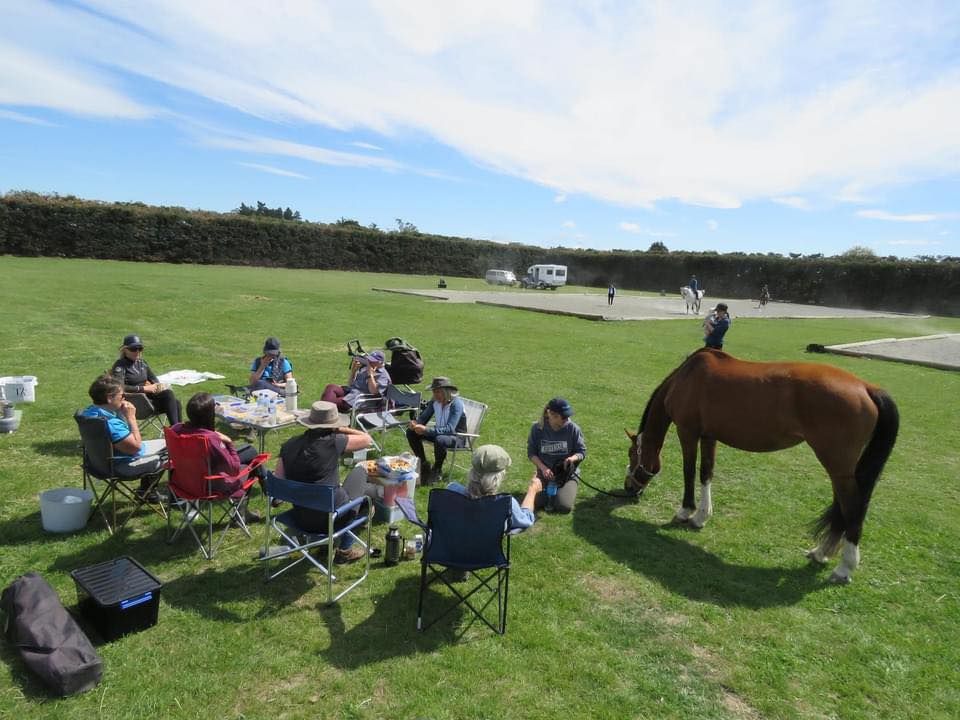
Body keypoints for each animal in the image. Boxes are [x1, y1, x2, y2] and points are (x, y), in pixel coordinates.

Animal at [628, 348, 896, 584]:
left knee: (852, 508)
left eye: (632, 455)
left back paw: (844, 568)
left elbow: (689, 472)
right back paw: (821, 553)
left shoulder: (688, 432)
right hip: (840, 469)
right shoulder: (709, 436)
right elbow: (706, 473)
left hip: (837, 466)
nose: (629, 489)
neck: (687, 377)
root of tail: (867, 388)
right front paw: (701, 516)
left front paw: (685, 512)